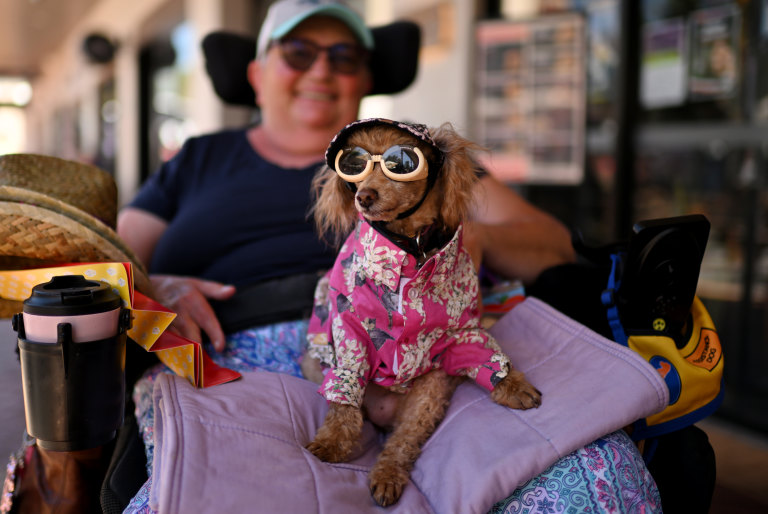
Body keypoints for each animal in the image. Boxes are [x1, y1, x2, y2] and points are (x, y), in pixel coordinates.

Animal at [304, 118, 544, 506]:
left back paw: (387, 474)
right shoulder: (348, 326)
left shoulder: (460, 330)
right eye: (354, 165)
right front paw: (331, 443)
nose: (363, 197)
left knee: (404, 439)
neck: (410, 248)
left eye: (401, 162)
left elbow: (482, 349)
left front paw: (510, 382)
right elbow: (344, 400)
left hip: (429, 391)